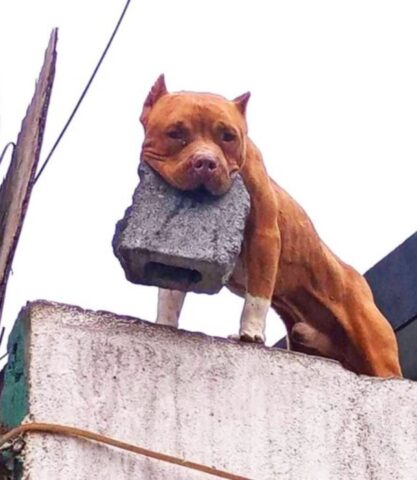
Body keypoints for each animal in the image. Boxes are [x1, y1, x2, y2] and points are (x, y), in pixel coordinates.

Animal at [139, 74, 400, 378]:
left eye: (228, 137)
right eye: (176, 133)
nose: (206, 162)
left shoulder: (264, 235)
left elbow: (258, 293)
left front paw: (250, 333)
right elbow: (170, 293)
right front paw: (164, 323)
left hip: (377, 350)